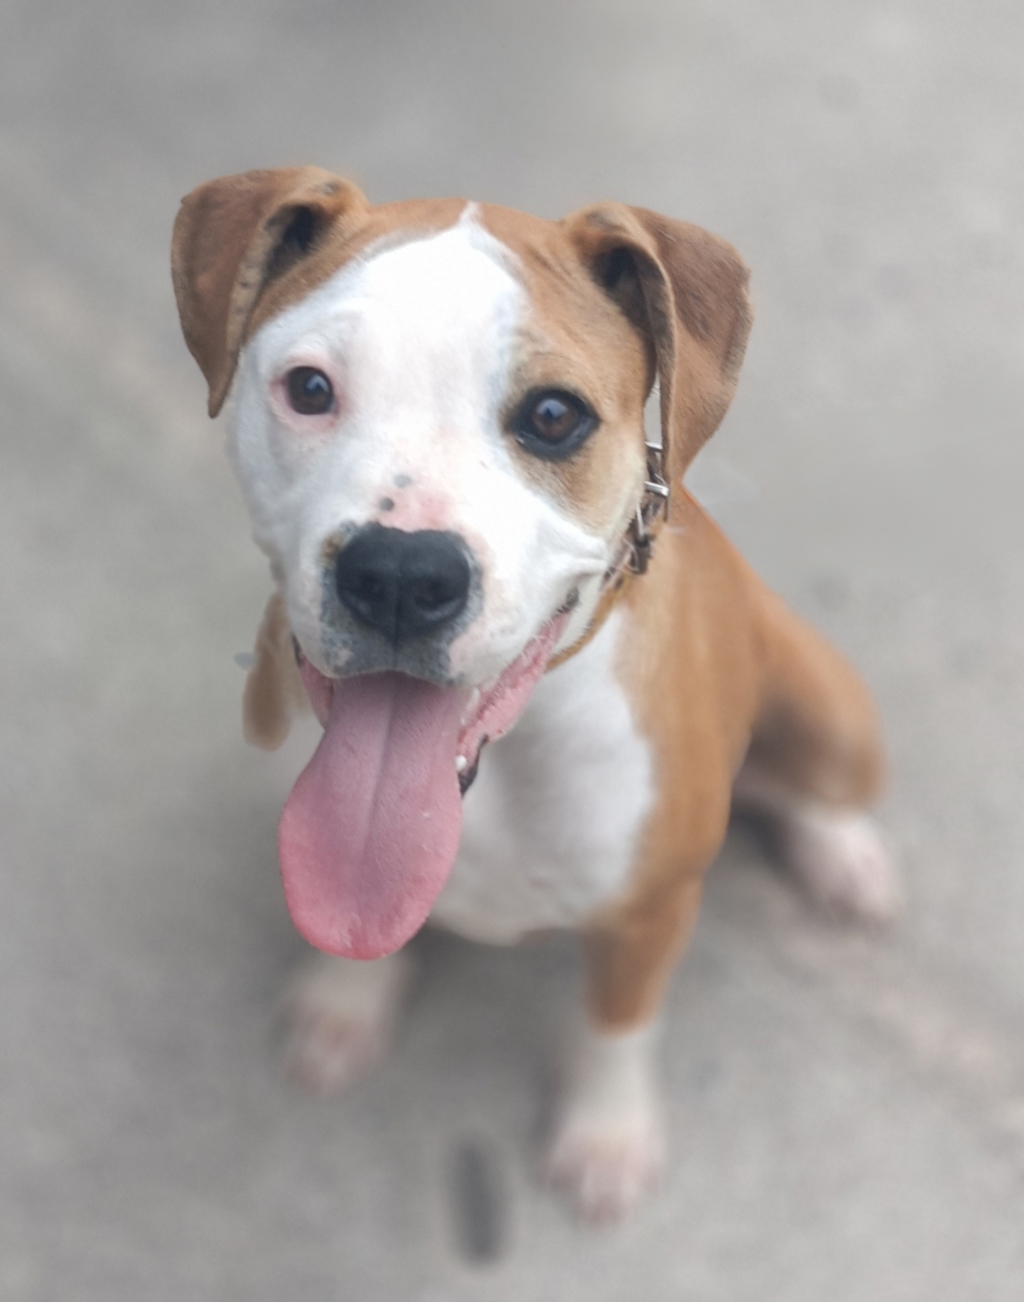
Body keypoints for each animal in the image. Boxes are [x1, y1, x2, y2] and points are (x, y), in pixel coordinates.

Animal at [171, 168, 900, 1222]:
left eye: (554, 418)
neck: (507, 763)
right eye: (310, 390)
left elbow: (616, 1023)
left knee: (823, 789)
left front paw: (607, 1134)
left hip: (827, 705)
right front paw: (344, 1007)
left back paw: (845, 860)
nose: (400, 575)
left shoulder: (649, 915)